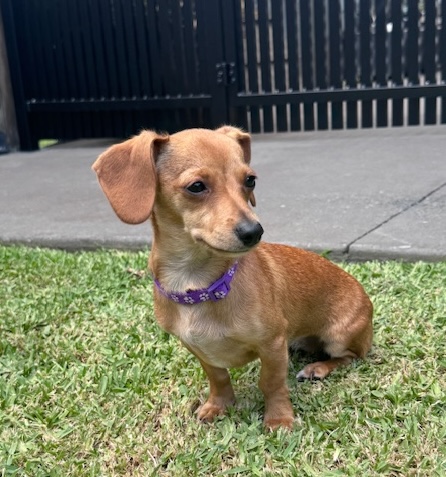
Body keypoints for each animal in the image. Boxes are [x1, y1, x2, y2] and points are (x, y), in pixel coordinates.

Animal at [92, 126, 373, 430]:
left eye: (250, 180)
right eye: (196, 186)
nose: (254, 232)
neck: (198, 285)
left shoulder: (273, 343)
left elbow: (271, 382)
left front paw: (279, 418)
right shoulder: (198, 349)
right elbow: (218, 378)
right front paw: (219, 405)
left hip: (339, 335)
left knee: (351, 357)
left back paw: (319, 367)